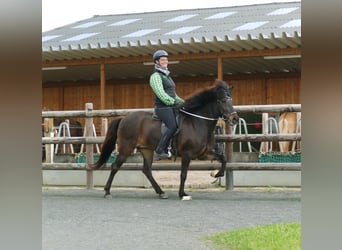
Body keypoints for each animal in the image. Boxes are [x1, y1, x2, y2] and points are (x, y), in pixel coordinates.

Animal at [92, 81, 239, 200]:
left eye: (231, 100)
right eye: (224, 100)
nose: (235, 119)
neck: (197, 122)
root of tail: (123, 119)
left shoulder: (203, 154)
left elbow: (223, 158)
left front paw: (218, 174)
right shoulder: (187, 154)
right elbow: (183, 174)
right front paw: (182, 194)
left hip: (146, 150)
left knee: (147, 170)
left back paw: (161, 192)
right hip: (126, 148)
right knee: (115, 166)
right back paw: (107, 192)